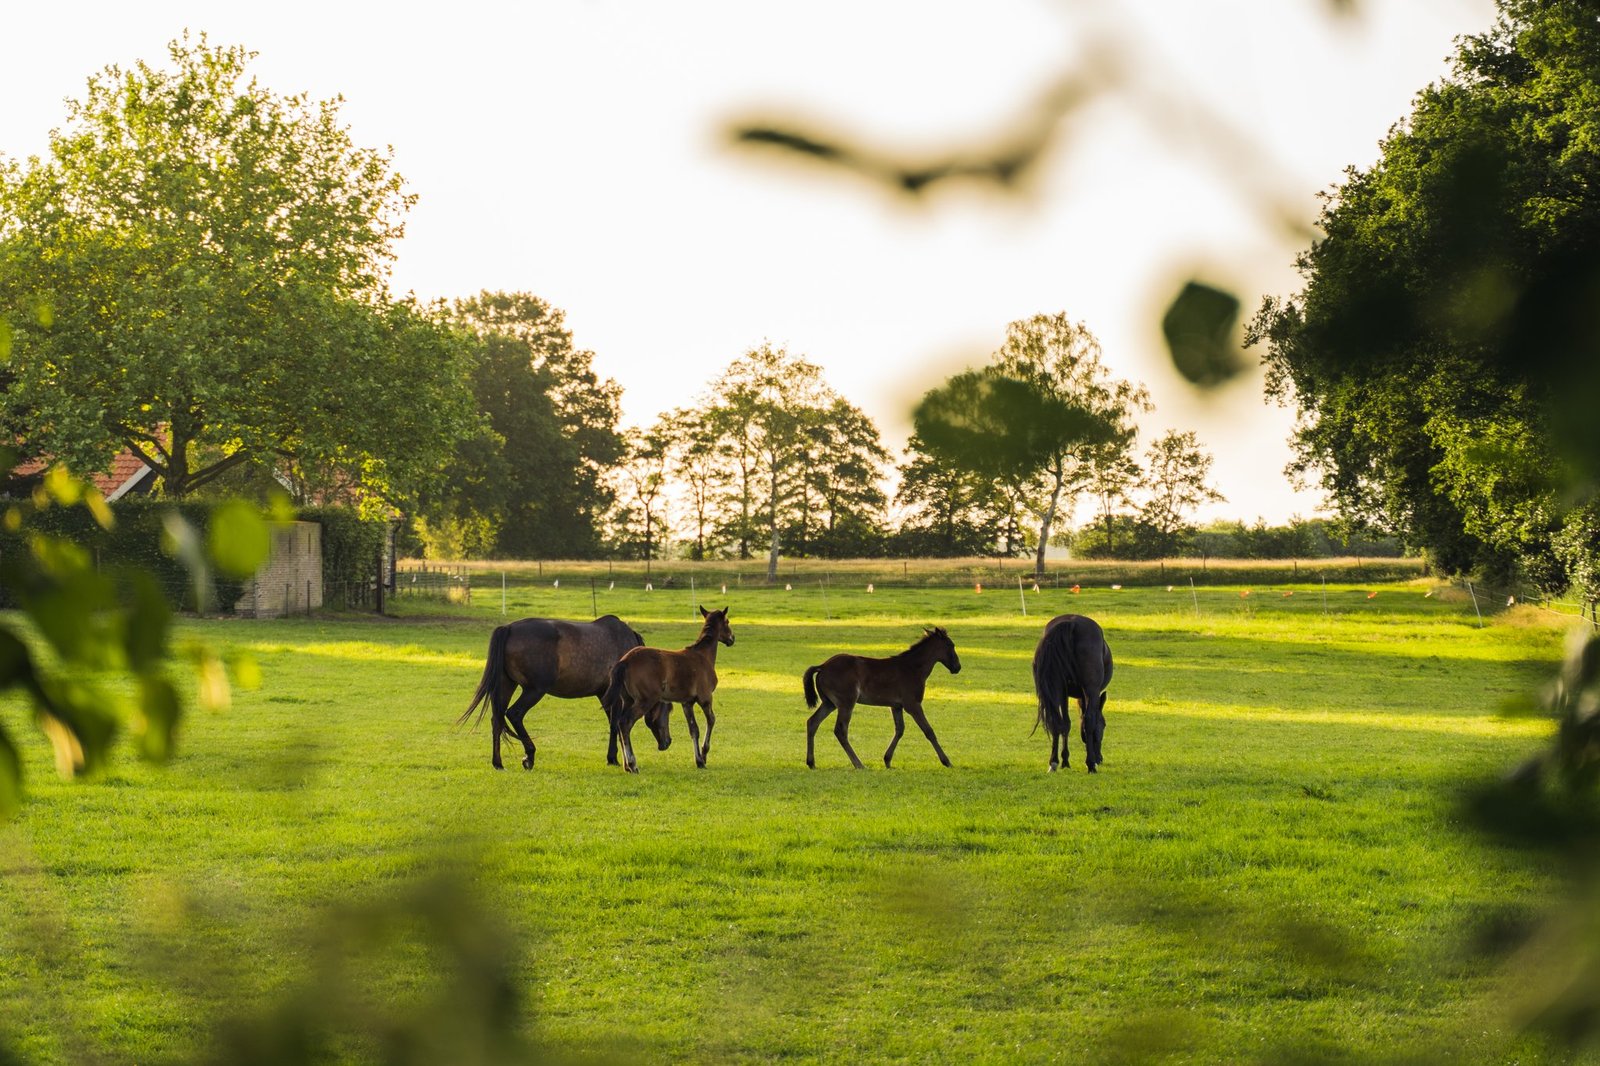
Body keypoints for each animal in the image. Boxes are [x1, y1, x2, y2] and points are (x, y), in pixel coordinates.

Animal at [460, 614, 663, 770]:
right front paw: (614, 759)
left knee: (497, 719)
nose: (664, 744)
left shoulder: (605, 694)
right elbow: (615, 725)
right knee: (514, 714)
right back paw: (529, 755)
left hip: (506, 685)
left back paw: (498, 763)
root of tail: (509, 628)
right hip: (534, 690)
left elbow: (613, 724)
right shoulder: (616, 696)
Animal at [603, 605, 734, 773]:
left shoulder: (687, 703)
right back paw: (633, 764)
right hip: (645, 700)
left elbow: (694, 730)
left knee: (620, 724)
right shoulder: (705, 699)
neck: (703, 656)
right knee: (625, 723)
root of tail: (625, 661)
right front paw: (704, 755)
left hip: (628, 700)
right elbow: (711, 720)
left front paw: (698, 760)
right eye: (727, 622)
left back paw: (627, 765)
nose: (732, 639)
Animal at [802, 626, 961, 770]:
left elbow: (900, 730)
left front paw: (887, 760)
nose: (957, 667)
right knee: (840, 730)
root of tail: (823, 666)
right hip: (846, 703)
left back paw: (811, 763)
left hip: (829, 704)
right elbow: (928, 731)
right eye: (951, 645)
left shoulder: (896, 706)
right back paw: (858, 764)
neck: (912, 668)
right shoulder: (913, 705)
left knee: (812, 723)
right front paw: (947, 761)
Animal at [1031, 613, 1113, 773]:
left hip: (1056, 688)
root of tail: (1071, 623)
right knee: (1088, 720)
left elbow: (1065, 724)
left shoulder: (1064, 692)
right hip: (1091, 688)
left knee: (1055, 720)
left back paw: (1053, 762)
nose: (1100, 759)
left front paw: (1065, 760)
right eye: (1105, 725)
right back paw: (1090, 764)